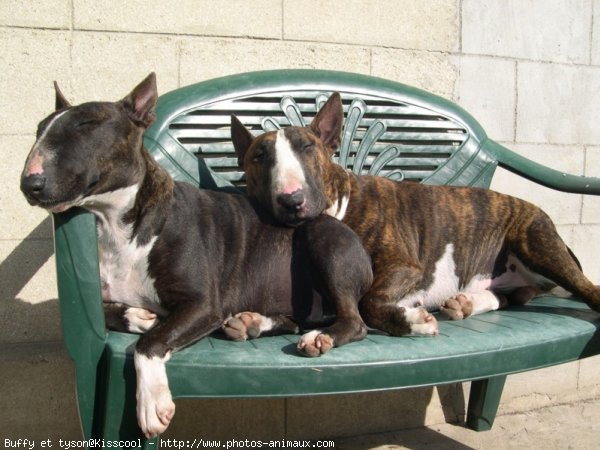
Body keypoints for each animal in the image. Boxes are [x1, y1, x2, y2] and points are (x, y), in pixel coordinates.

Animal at [21, 76, 372, 436]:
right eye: (39, 130)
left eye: (86, 125)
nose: (29, 183)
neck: (117, 223)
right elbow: (109, 314)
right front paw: (139, 316)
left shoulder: (203, 305)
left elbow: (149, 344)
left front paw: (152, 401)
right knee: (295, 320)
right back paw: (251, 322)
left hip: (323, 239)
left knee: (354, 322)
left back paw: (320, 336)